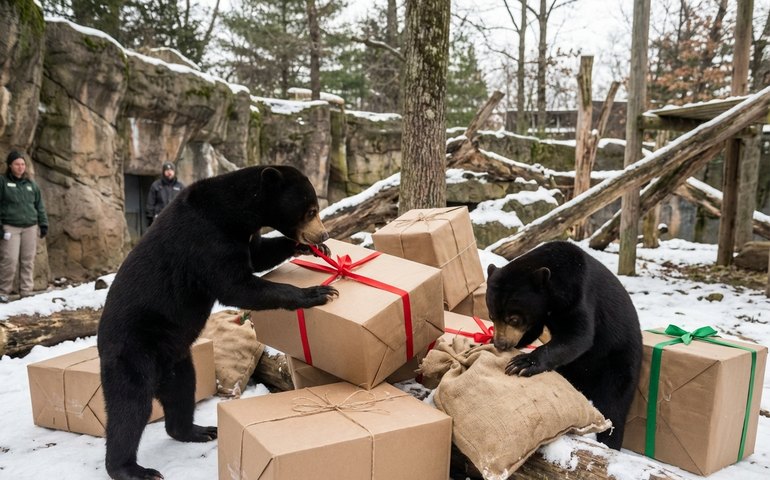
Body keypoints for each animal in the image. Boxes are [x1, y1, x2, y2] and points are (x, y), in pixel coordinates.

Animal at [97, 165, 338, 480]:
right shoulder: (206, 238)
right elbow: (235, 285)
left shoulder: (242, 235)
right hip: (134, 351)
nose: (323, 233)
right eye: (311, 210)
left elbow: (258, 254)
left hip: (176, 358)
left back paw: (198, 430)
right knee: (130, 407)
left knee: (183, 390)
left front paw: (311, 248)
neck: (235, 211)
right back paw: (133, 469)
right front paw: (317, 293)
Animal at [485, 240, 642, 450]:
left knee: (614, 405)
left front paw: (522, 363)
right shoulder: (541, 311)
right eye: (492, 315)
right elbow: (534, 331)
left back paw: (609, 443)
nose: (501, 343)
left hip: (620, 365)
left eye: (514, 318)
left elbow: (579, 335)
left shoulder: (579, 293)